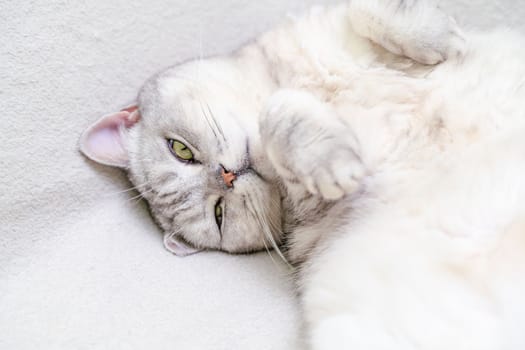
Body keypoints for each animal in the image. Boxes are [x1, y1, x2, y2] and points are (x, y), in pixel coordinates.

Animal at [78, 1, 524, 348]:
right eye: (219, 214)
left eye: (180, 150)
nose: (227, 177)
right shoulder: (312, 198)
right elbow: (279, 112)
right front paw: (331, 159)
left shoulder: (326, 27)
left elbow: (366, 11)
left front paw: (446, 38)